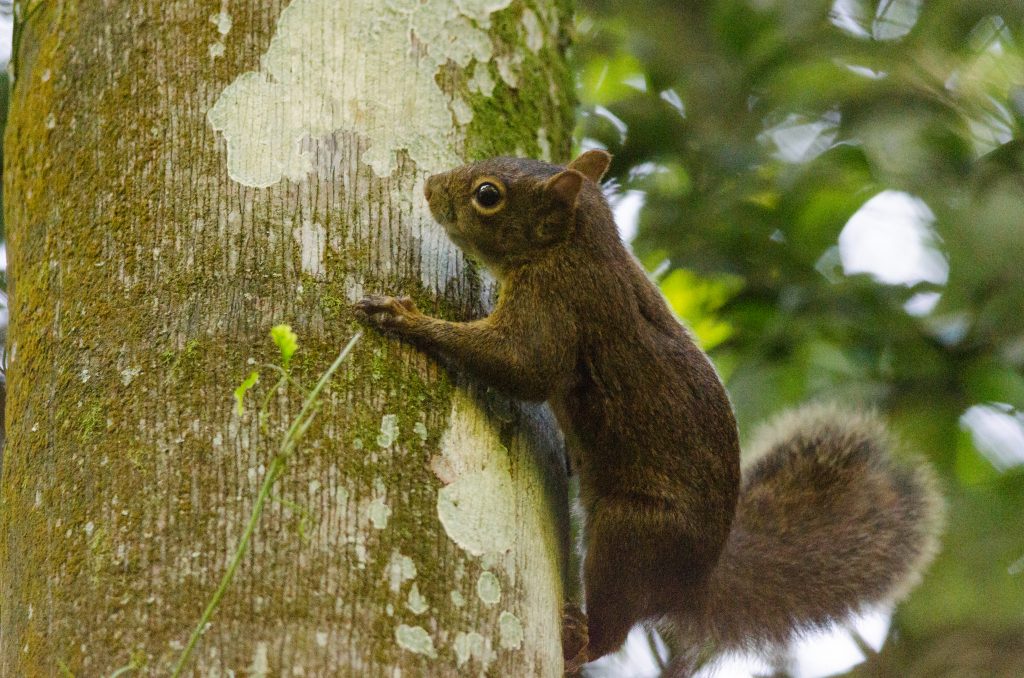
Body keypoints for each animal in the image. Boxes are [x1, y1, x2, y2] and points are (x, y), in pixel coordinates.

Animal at [352, 151, 942, 675]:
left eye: (488, 195)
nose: (430, 186)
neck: (577, 244)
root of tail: (693, 581)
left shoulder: (558, 303)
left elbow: (525, 367)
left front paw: (405, 319)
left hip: (630, 532)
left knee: (615, 627)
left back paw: (582, 639)